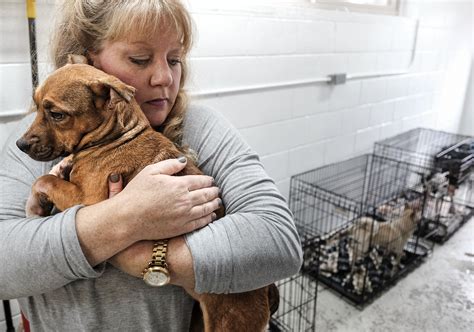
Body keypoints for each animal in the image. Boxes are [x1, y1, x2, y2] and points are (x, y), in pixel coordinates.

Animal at [16, 55, 278, 332]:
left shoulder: (87, 200)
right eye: (36, 107)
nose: (20, 145)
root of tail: (266, 289)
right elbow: (55, 174)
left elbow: (45, 180)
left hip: (228, 322)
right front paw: (56, 177)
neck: (115, 136)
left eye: (57, 114)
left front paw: (36, 203)